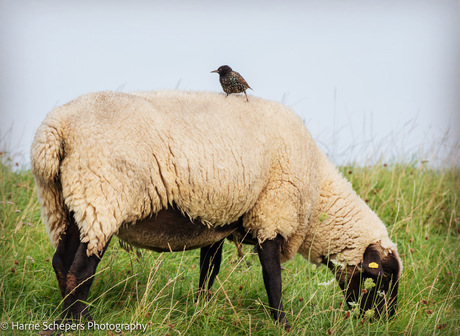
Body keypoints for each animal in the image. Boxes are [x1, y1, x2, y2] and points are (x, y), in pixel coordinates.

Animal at [30, 89, 400, 328]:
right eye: (381, 277)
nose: (388, 320)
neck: (318, 197)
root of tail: (55, 130)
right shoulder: (272, 212)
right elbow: (272, 277)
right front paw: (282, 323)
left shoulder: (217, 221)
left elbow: (208, 271)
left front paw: (200, 312)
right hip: (102, 196)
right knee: (80, 270)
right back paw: (83, 321)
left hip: (66, 202)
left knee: (61, 264)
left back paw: (66, 319)